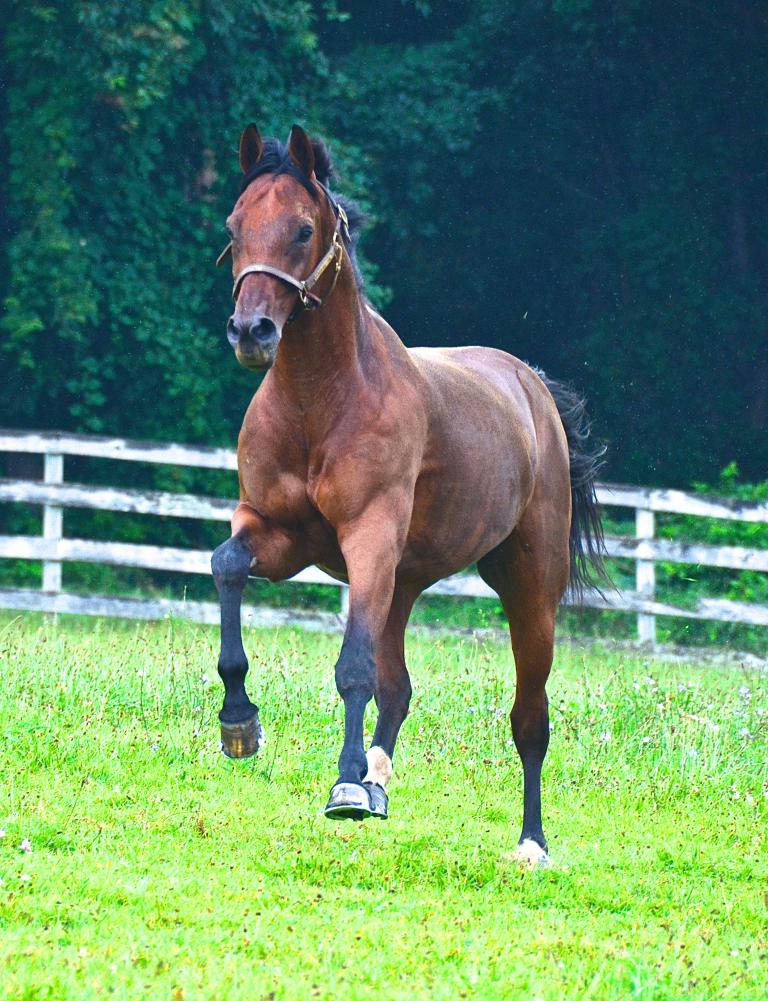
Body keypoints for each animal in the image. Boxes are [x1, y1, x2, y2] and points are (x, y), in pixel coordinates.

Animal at [211, 124, 606, 865]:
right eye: (234, 226)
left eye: (303, 229)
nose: (252, 333)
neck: (320, 403)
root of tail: (532, 387)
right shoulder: (274, 531)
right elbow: (227, 568)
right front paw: (240, 722)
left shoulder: (367, 540)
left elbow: (352, 668)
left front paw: (341, 785)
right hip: (402, 582)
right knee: (398, 690)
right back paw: (377, 783)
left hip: (526, 586)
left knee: (529, 717)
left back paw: (530, 842)